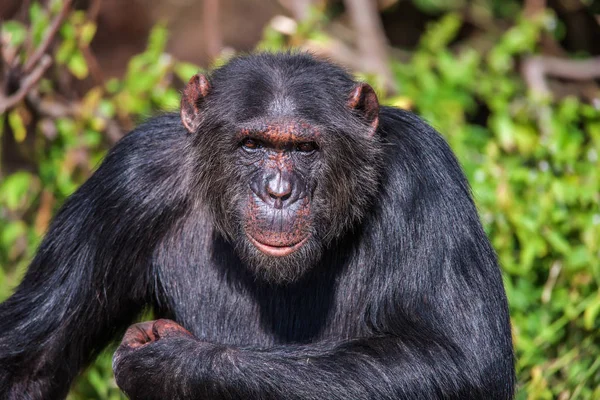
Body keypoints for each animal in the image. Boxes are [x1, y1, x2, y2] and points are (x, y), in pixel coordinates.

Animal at [0, 51, 516, 398]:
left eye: (305, 149)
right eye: (251, 144)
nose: (278, 191)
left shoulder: (424, 175)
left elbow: (459, 358)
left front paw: (170, 363)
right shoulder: (129, 180)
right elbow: (30, 362)